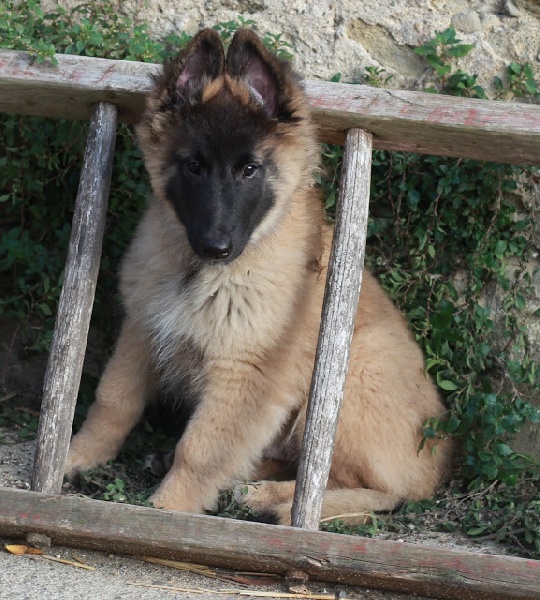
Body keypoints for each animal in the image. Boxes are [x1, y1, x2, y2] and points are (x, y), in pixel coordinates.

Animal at [64, 28, 452, 524]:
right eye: (194, 166)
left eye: (249, 169)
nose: (216, 247)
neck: (202, 273)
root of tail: (440, 462)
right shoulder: (143, 330)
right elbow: (113, 402)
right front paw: (78, 454)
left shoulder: (246, 370)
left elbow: (201, 448)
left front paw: (168, 509)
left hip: (355, 373)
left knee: (369, 490)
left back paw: (267, 498)